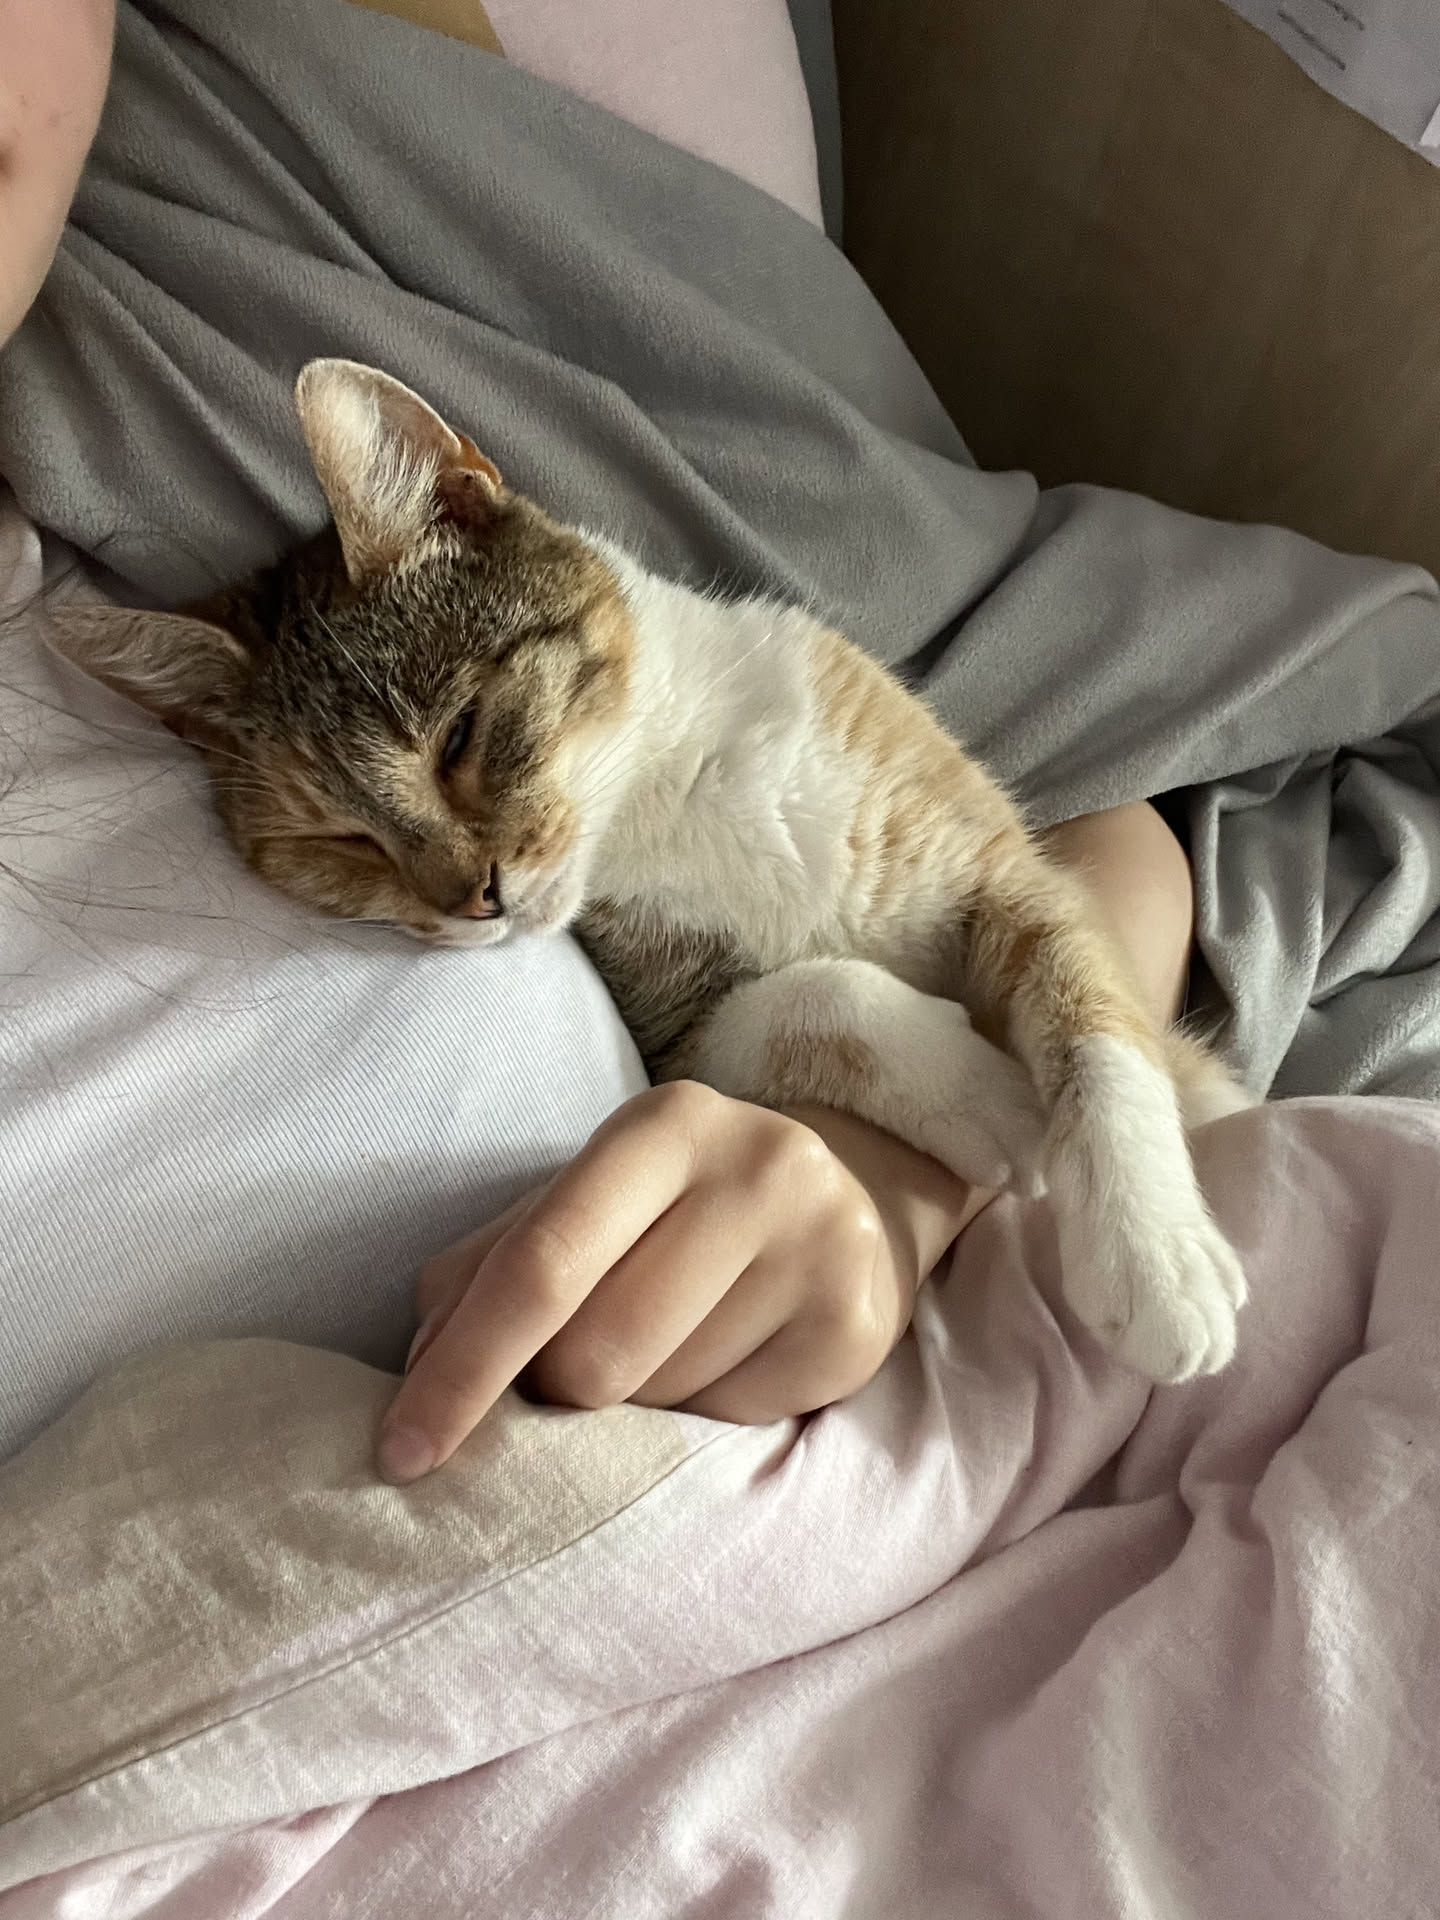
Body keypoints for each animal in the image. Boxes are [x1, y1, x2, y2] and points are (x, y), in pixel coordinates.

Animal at [52, 358, 1250, 1382]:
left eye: (460, 735)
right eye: (338, 842)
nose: (474, 897)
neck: (664, 785)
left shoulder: (1012, 876)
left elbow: (1096, 1031)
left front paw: (1151, 1259)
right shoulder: (677, 1023)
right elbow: (802, 998)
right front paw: (989, 1097)